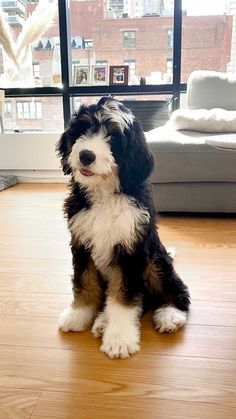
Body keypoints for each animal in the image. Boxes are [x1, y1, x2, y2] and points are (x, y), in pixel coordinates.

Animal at [56, 97, 190, 360]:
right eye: (83, 129)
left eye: (114, 137)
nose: (86, 155)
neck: (105, 194)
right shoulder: (82, 243)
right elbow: (85, 282)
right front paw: (79, 315)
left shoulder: (131, 250)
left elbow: (124, 298)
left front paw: (119, 339)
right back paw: (101, 322)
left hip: (155, 261)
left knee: (175, 291)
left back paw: (170, 314)